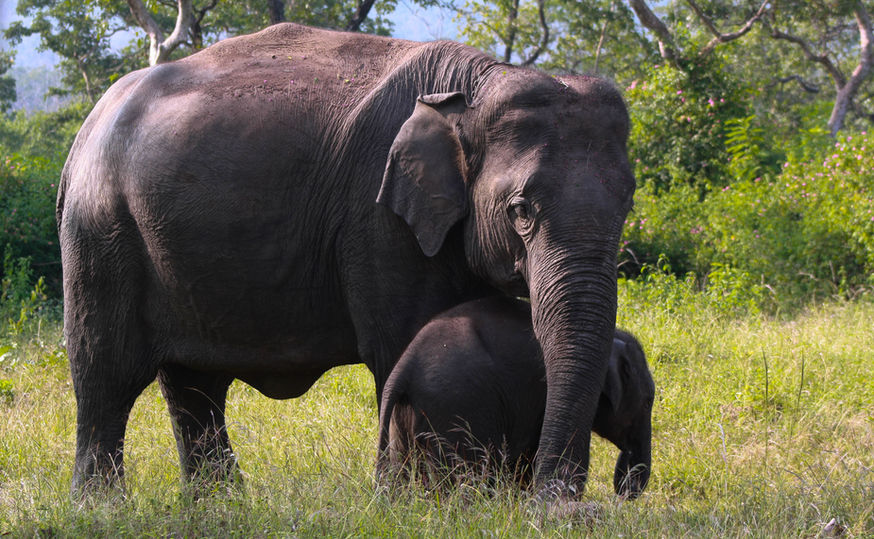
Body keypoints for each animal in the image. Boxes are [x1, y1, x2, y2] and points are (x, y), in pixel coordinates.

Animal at [376, 296, 654, 498]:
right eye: (647, 401)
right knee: (462, 474)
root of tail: (404, 367)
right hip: (456, 410)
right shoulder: (537, 399)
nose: (624, 491)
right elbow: (528, 455)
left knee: (403, 466)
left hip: (407, 417)